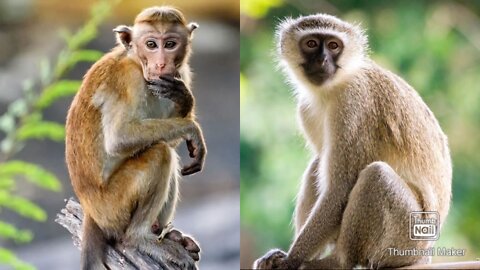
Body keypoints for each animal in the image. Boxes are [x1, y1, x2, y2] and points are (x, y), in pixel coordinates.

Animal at [64, 6, 206, 270]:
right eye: (151, 44)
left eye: (170, 44)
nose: (161, 63)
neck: (137, 62)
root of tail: (90, 212)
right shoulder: (127, 79)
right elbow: (119, 138)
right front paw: (193, 129)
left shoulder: (180, 74)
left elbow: (172, 137)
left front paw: (184, 99)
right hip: (113, 208)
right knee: (160, 153)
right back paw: (140, 238)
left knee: (163, 149)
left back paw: (165, 233)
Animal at [253, 13, 452, 268]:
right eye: (311, 44)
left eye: (333, 45)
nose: (322, 60)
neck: (333, 87)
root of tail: (425, 253)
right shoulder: (305, 109)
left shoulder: (353, 103)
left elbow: (341, 188)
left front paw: (291, 260)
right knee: (319, 163)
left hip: (407, 237)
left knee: (376, 175)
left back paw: (337, 261)